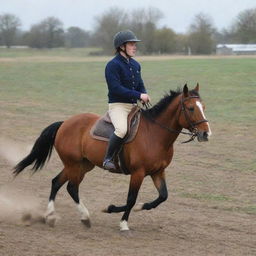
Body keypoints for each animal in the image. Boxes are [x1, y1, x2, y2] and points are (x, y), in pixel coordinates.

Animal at [13, 84, 211, 232]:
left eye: (203, 107)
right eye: (191, 108)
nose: (206, 134)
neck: (155, 134)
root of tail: (65, 123)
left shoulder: (158, 172)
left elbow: (162, 197)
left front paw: (132, 208)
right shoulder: (138, 173)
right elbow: (131, 198)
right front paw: (121, 221)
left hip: (83, 165)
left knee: (57, 182)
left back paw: (51, 216)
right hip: (73, 164)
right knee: (71, 187)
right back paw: (83, 217)